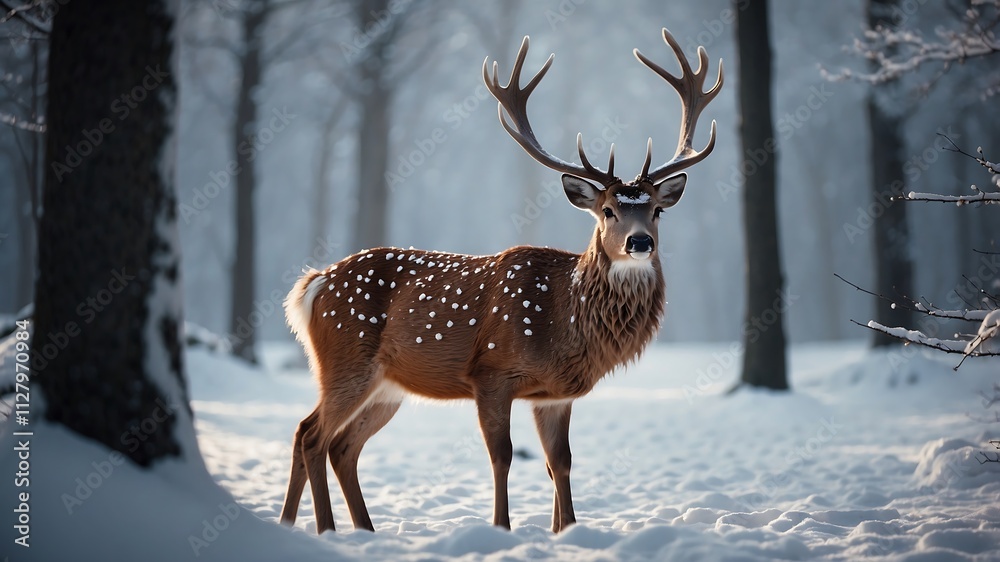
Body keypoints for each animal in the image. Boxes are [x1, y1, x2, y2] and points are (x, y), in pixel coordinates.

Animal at [279, 28, 723, 535]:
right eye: (608, 210)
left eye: (657, 210)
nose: (641, 241)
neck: (564, 321)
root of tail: (313, 284)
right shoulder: (490, 371)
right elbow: (502, 456)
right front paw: (502, 528)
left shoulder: (554, 395)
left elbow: (560, 462)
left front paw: (565, 530)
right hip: (345, 358)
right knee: (311, 433)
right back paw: (327, 530)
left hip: (387, 385)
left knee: (340, 445)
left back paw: (332, 528)